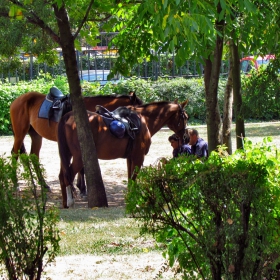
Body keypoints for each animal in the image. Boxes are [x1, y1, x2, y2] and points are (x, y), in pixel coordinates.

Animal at [9, 91, 142, 194]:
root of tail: (17, 100)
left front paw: (80, 187)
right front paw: (82, 188)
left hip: (36, 136)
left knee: (34, 156)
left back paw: (44, 185)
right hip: (20, 134)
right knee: (14, 154)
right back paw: (16, 184)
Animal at [57, 99, 188, 207]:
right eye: (185, 117)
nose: (186, 137)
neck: (144, 120)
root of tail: (68, 116)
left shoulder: (130, 158)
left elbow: (130, 178)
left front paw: (130, 197)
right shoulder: (138, 157)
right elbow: (134, 178)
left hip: (67, 155)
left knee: (62, 176)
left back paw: (65, 202)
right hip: (79, 158)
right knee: (68, 175)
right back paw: (70, 201)